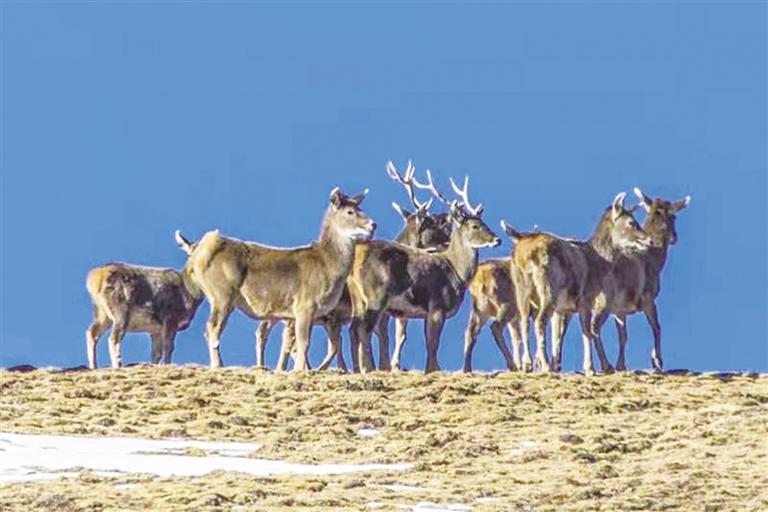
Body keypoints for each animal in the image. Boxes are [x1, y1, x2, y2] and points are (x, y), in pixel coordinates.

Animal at [175, 186, 378, 370]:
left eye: (360, 208)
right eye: (350, 211)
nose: (373, 225)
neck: (328, 266)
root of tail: (198, 256)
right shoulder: (305, 304)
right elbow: (304, 343)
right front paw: (300, 371)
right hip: (222, 293)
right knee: (213, 328)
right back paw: (219, 365)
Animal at [346, 172, 498, 372]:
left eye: (484, 222)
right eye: (475, 226)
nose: (497, 239)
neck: (456, 271)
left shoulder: (425, 313)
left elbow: (427, 342)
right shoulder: (437, 305)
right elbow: (433, 344)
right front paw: (433, 369)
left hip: (357, 297)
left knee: (353, 328)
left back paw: (357, 368)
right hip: (376, 295)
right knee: (364, 329)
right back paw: (370, 368)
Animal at [504, 192, 656, 376]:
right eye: (631, 222)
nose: (649, 241)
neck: (598, 262)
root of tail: (524, 253)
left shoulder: (567, 307)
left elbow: (565, 333)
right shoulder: (586, 299)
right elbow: (587, 331)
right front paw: (590, 368)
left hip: (521, 288)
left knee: (524, 321)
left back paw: (527, 365)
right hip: (548, 288)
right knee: (539, 321)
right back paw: (545, 366)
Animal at [592, 188, 692, 372]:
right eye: (674, 217)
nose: (675, 237)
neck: (653, 258)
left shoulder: (620, 309)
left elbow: (623, 336)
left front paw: (621, 365)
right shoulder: (648, 298)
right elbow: (657, 327)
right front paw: (657, 362)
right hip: (603, 301)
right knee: (593, 327)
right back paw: (605, 365)